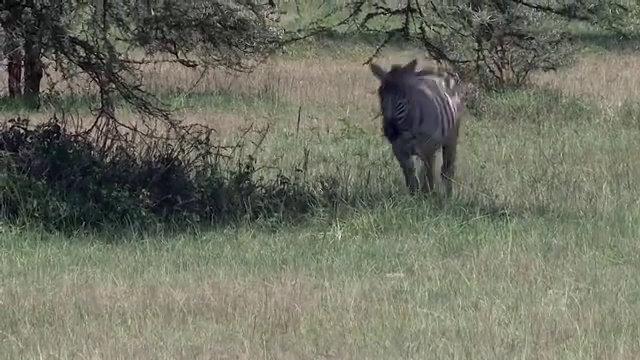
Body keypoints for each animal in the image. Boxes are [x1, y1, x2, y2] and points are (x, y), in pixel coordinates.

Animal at [368, 59, 468, 197]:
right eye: (380, 94)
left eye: (404, 95)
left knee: (447, 169)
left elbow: (428, 178)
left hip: (450, 139)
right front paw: (413, 197)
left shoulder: (428, 148)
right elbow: (411, 176)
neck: (407, 127)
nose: (390, 132)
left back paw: (448, 196)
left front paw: (426, 198)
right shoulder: (399, 150)